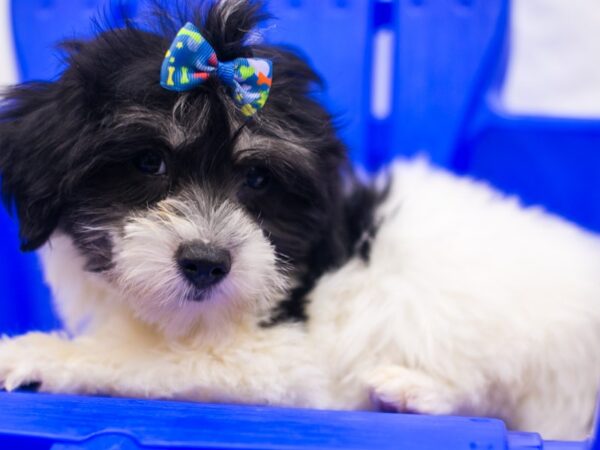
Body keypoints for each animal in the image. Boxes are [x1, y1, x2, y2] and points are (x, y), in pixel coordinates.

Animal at [1, 0, 600, 440]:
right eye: (149, 162)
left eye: (257, 179)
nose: (206, 264)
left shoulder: (275, 359)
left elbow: (143, 360)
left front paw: (37, 353)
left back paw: (412, 392)